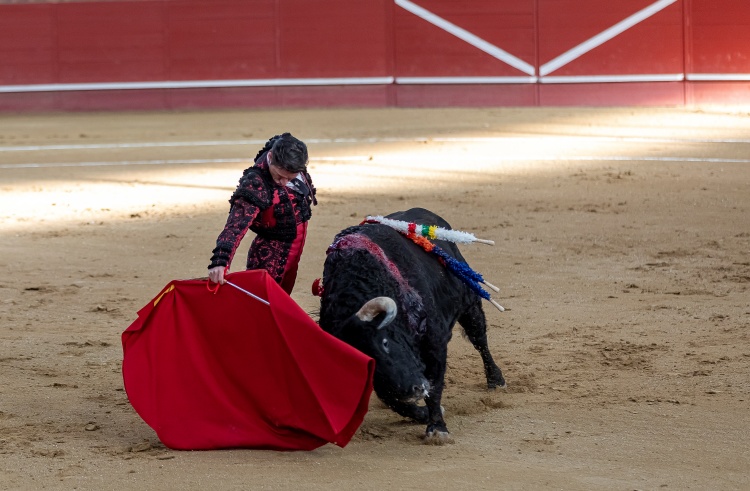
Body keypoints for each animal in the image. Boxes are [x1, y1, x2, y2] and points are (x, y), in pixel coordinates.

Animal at [317, 207, 506, 443]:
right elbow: (389, 396)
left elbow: (434, 385)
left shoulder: (434, 341)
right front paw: (422, 414)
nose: (412, 389)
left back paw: (496, 379)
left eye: (385, 342)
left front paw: (437, 428)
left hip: (469, 301)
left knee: (479, 338)